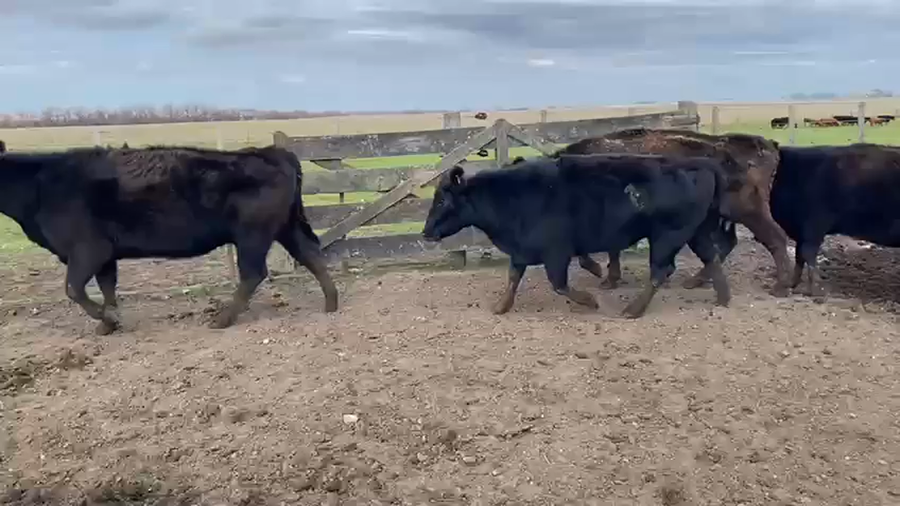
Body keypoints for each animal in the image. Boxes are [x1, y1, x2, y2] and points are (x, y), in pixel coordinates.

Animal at [0, 145, 339, 334]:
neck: (41, 183)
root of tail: (271, 151)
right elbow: (107, 287)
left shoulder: (87, 249)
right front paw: (109, 323)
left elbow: (73, 289)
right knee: (310, 254)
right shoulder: (105, 254)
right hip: (286, 228)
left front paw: (107, 318)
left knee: (253, 274)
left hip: (252, 235)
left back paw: (221, 319)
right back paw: (330, 304)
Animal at [421, 154, 734, 318]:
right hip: (696, 232)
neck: (512, 195)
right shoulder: (522, 251)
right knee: (711, 259)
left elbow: (559, 284)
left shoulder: (555, 253)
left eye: (442, 200)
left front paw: (590, 300)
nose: (425, 233)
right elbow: (513, 278)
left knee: (661, 271)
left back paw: (632, 309)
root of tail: (699, 164)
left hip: (668, 236)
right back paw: (723, 298)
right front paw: (501, 306)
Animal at [549, 128, 792, 297]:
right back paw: (695, 281)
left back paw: (780, 287)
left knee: (775, 238)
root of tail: (767, 145)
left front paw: (603, 275)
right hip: (723, 216)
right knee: (728, 243)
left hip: (747, 211)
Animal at [770, 143, 900, 297]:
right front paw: (792, 284)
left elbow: (807, 253)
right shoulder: (801, 231)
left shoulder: (814, 224)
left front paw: (815, 290)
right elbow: (799, 256)